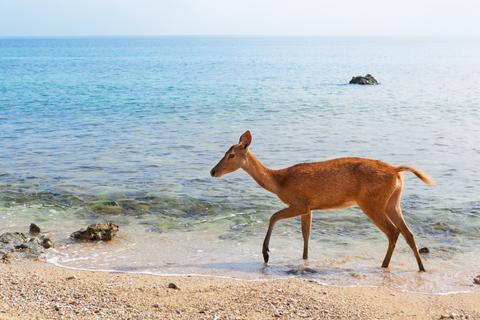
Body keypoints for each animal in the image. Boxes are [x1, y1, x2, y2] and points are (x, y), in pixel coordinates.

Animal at [211, 131, 436, 272]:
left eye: (231, 155)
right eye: (224, 152)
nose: (213, 171)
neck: (279, 182)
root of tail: (396, 171)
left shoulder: (299, 202)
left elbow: (273, 216)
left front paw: (266, 253)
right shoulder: (309, 207)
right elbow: (306, 234)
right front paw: (304, 259)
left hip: (371, 202)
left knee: (393, 232)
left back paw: (384, 265)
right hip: (393, 202)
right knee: (408, 233)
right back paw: (421, 268)